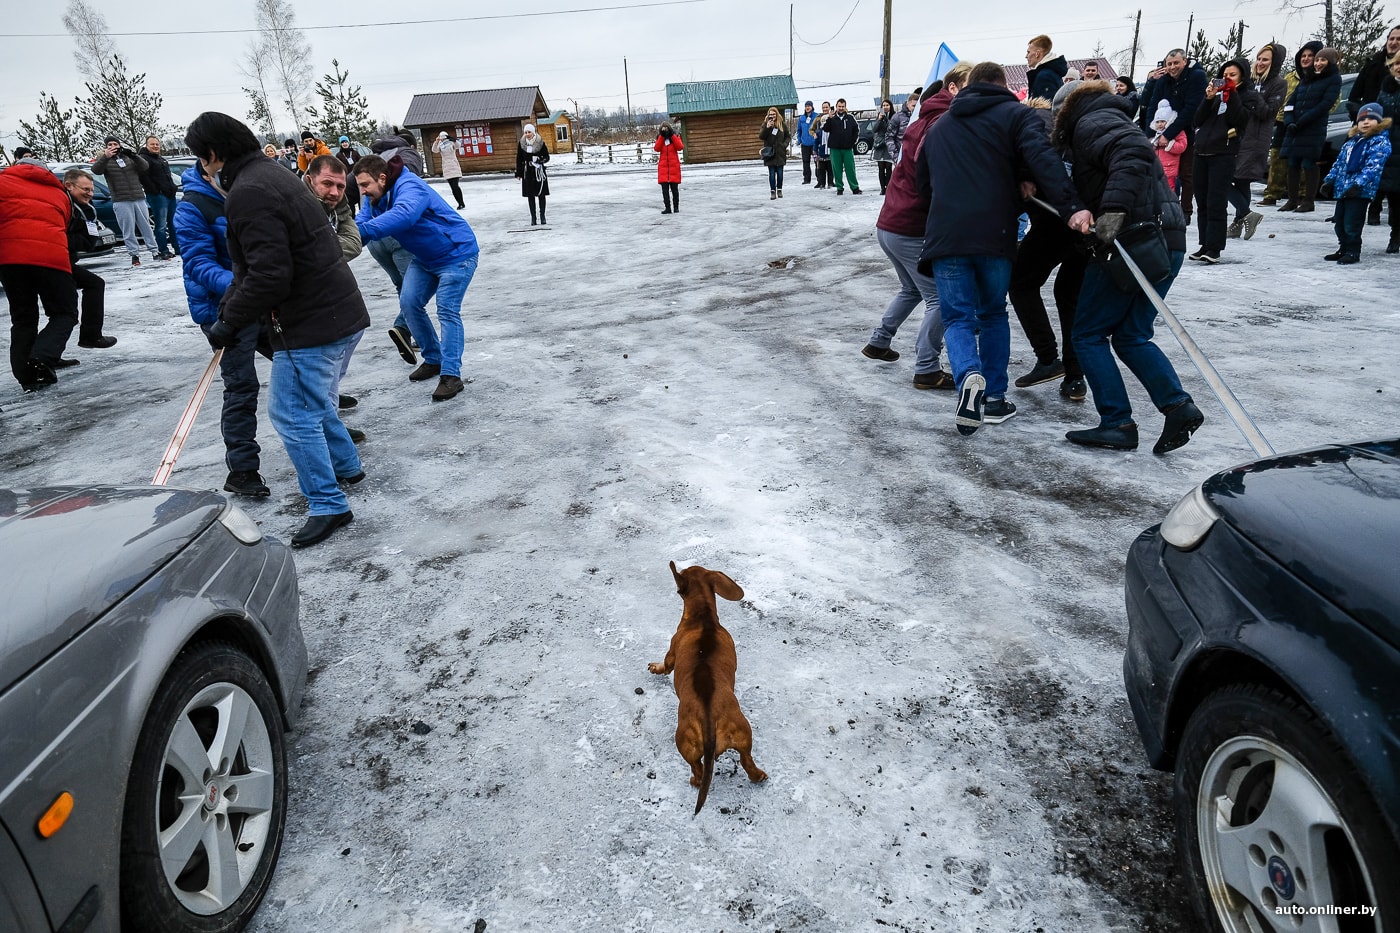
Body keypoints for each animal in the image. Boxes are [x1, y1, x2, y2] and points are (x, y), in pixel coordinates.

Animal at [649, 561, 767, 813]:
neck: (703, 618)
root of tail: (709, 716)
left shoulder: (671, 652)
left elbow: (666, 664)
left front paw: (655, 667)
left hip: (685, 744)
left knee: (698, 768)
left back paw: (695, 781)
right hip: (744, 733)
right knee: (747, 760)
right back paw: (759, 775)